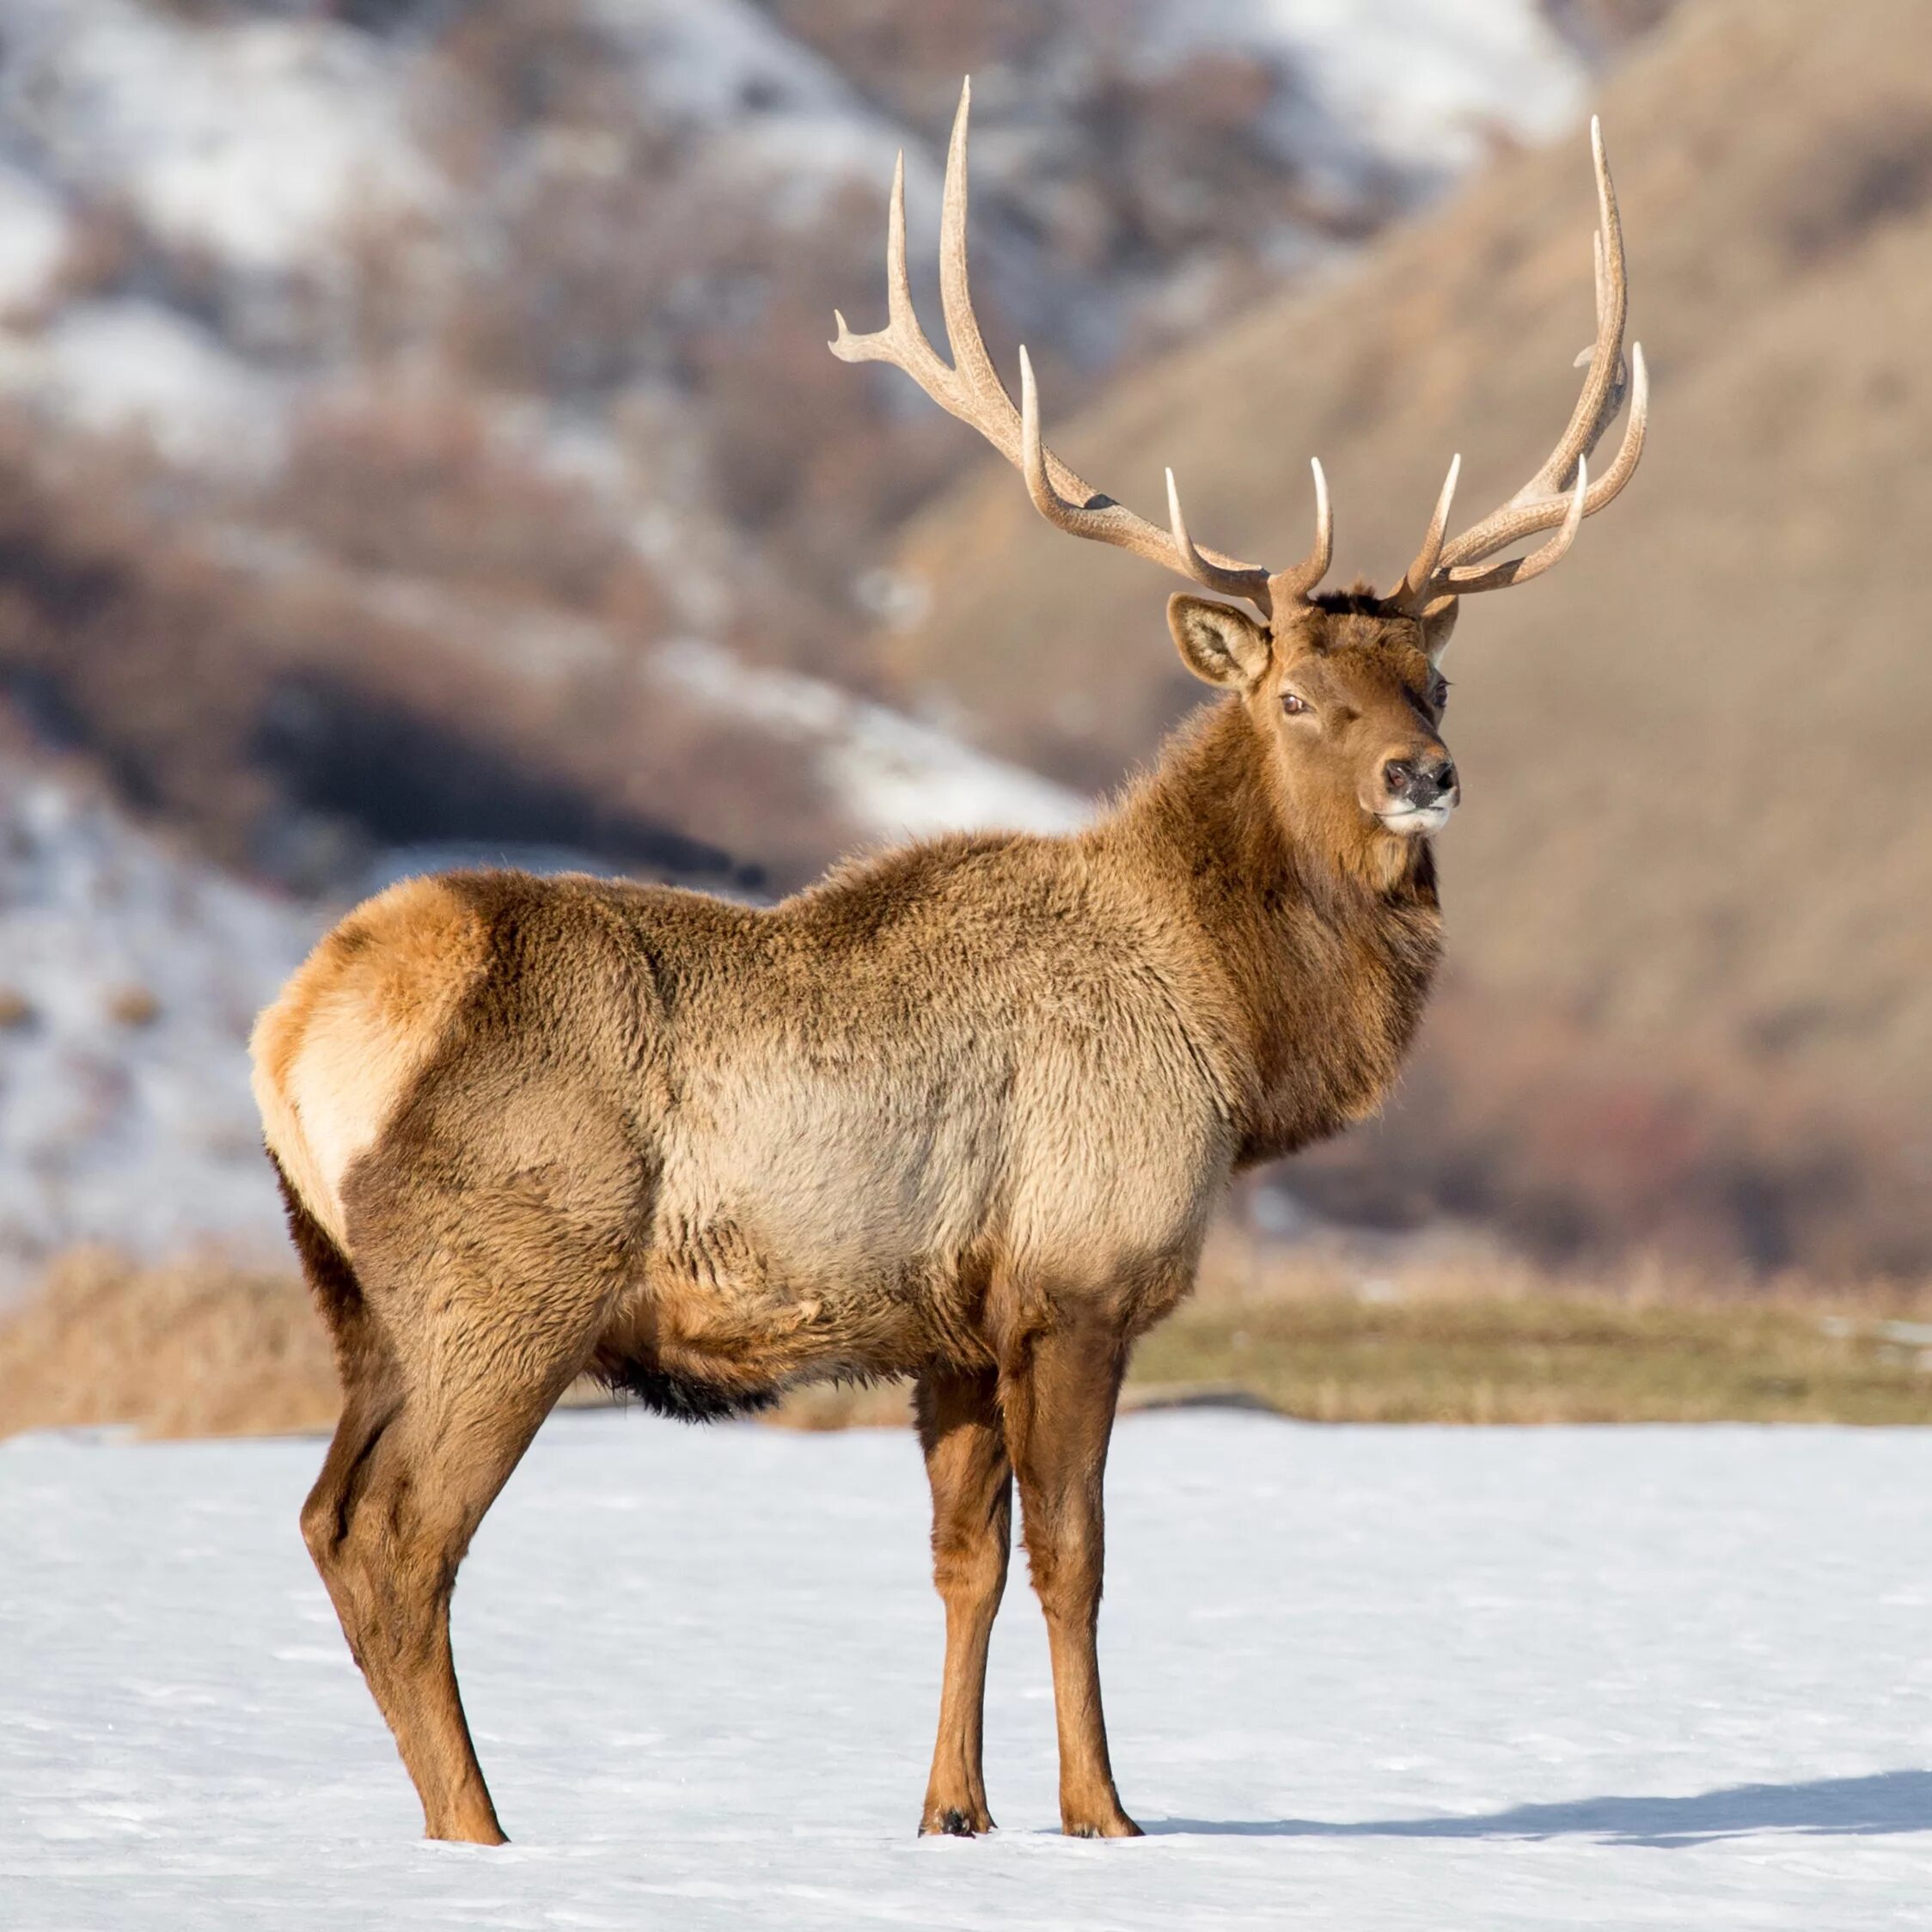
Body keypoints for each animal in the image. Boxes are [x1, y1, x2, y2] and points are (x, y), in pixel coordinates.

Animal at [256, 79, 1646, 1839]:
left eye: (1433, 681)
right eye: (1294, 696)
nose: (1425, 774)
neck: (1237, 1041)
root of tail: (296, 1019)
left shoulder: (951, 1327)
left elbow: (960, 1561)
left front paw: (953, 1811)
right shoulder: (1079, 1273)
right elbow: (1075, 1558)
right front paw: (1105, 1811)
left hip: (350, 1289)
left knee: (322, 1515)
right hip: (502, 1278)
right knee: (397, 1539)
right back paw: (483, 1835)